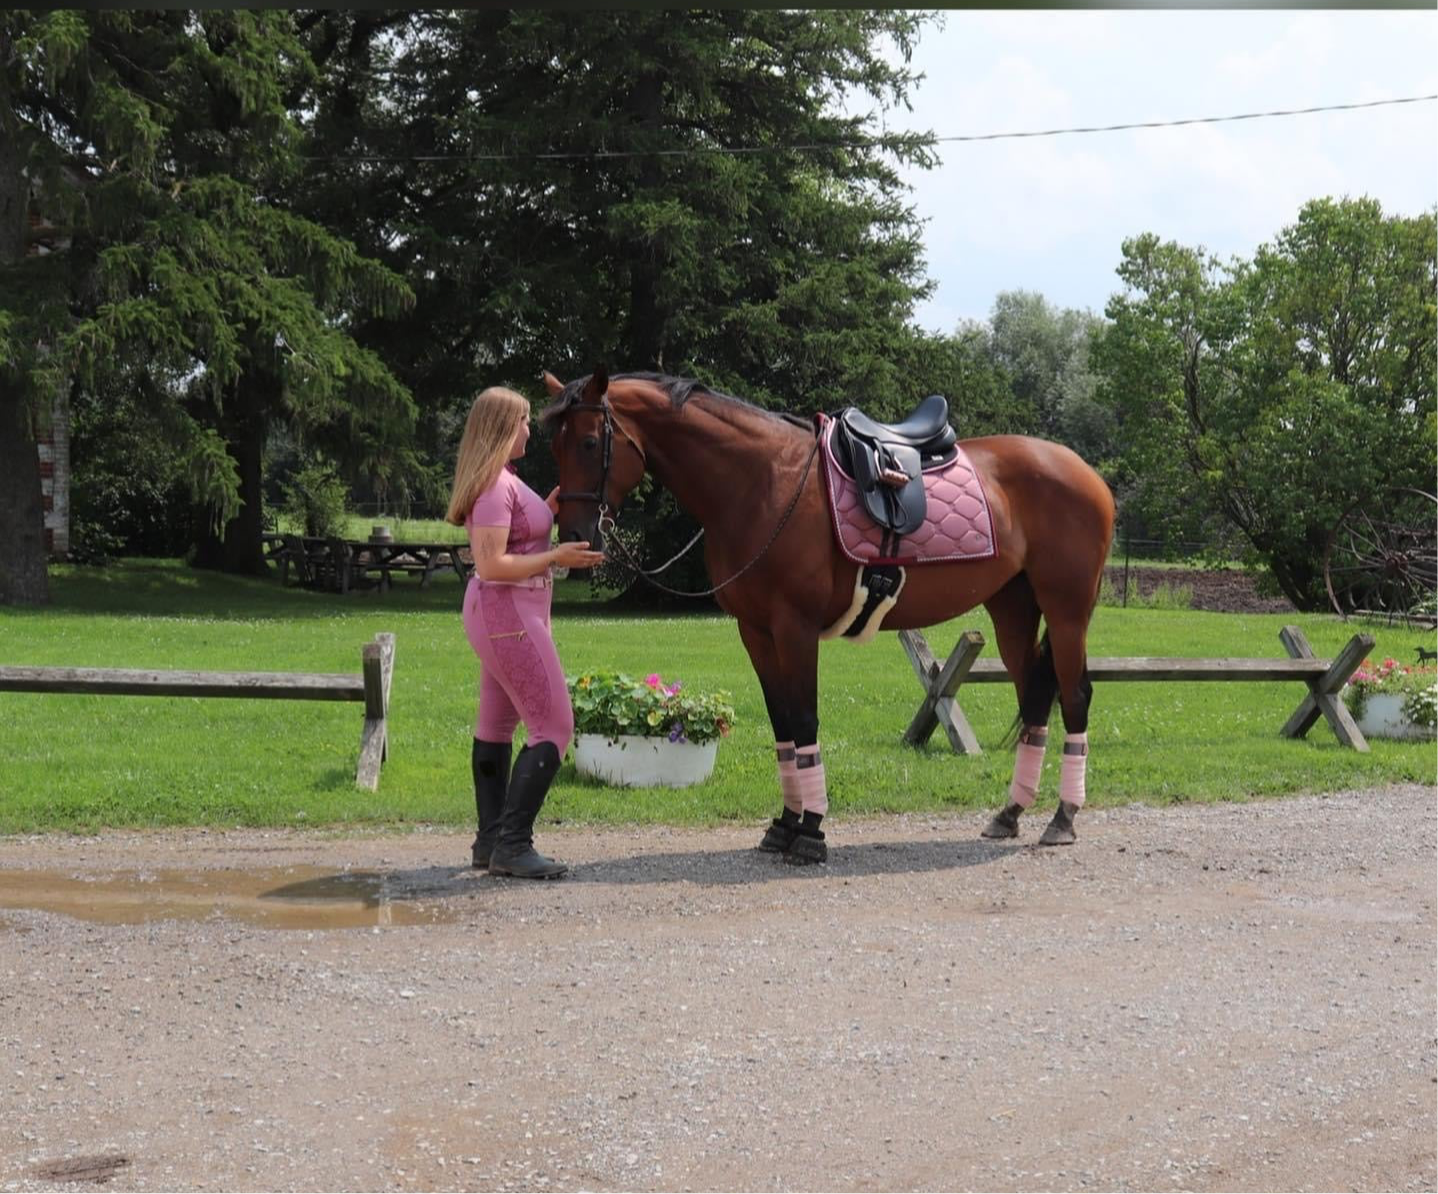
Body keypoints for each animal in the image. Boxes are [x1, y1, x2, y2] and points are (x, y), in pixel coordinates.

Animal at [543, 368, 1115, 863]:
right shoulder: (756, 632)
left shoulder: (795, 628)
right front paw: (784, 824)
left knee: (1076, 696)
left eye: (589, 443)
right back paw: (1011, 812)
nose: (574, 536)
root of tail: (1085, 472)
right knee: (1035, 696)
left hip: (1067, 610)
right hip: (1011, 606)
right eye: (556, 444)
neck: (760, 482)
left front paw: (812, 831)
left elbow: (804, 720)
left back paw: (1063, 817)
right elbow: (782, 724)